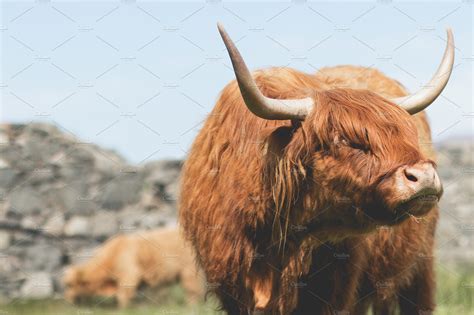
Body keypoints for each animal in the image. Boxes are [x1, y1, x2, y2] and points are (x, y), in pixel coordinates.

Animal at [180, 24, 454, 315]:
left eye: (406, 135)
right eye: (343, 140)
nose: (423, 177)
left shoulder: (334, 289)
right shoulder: (231, 286)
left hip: (419, 269)